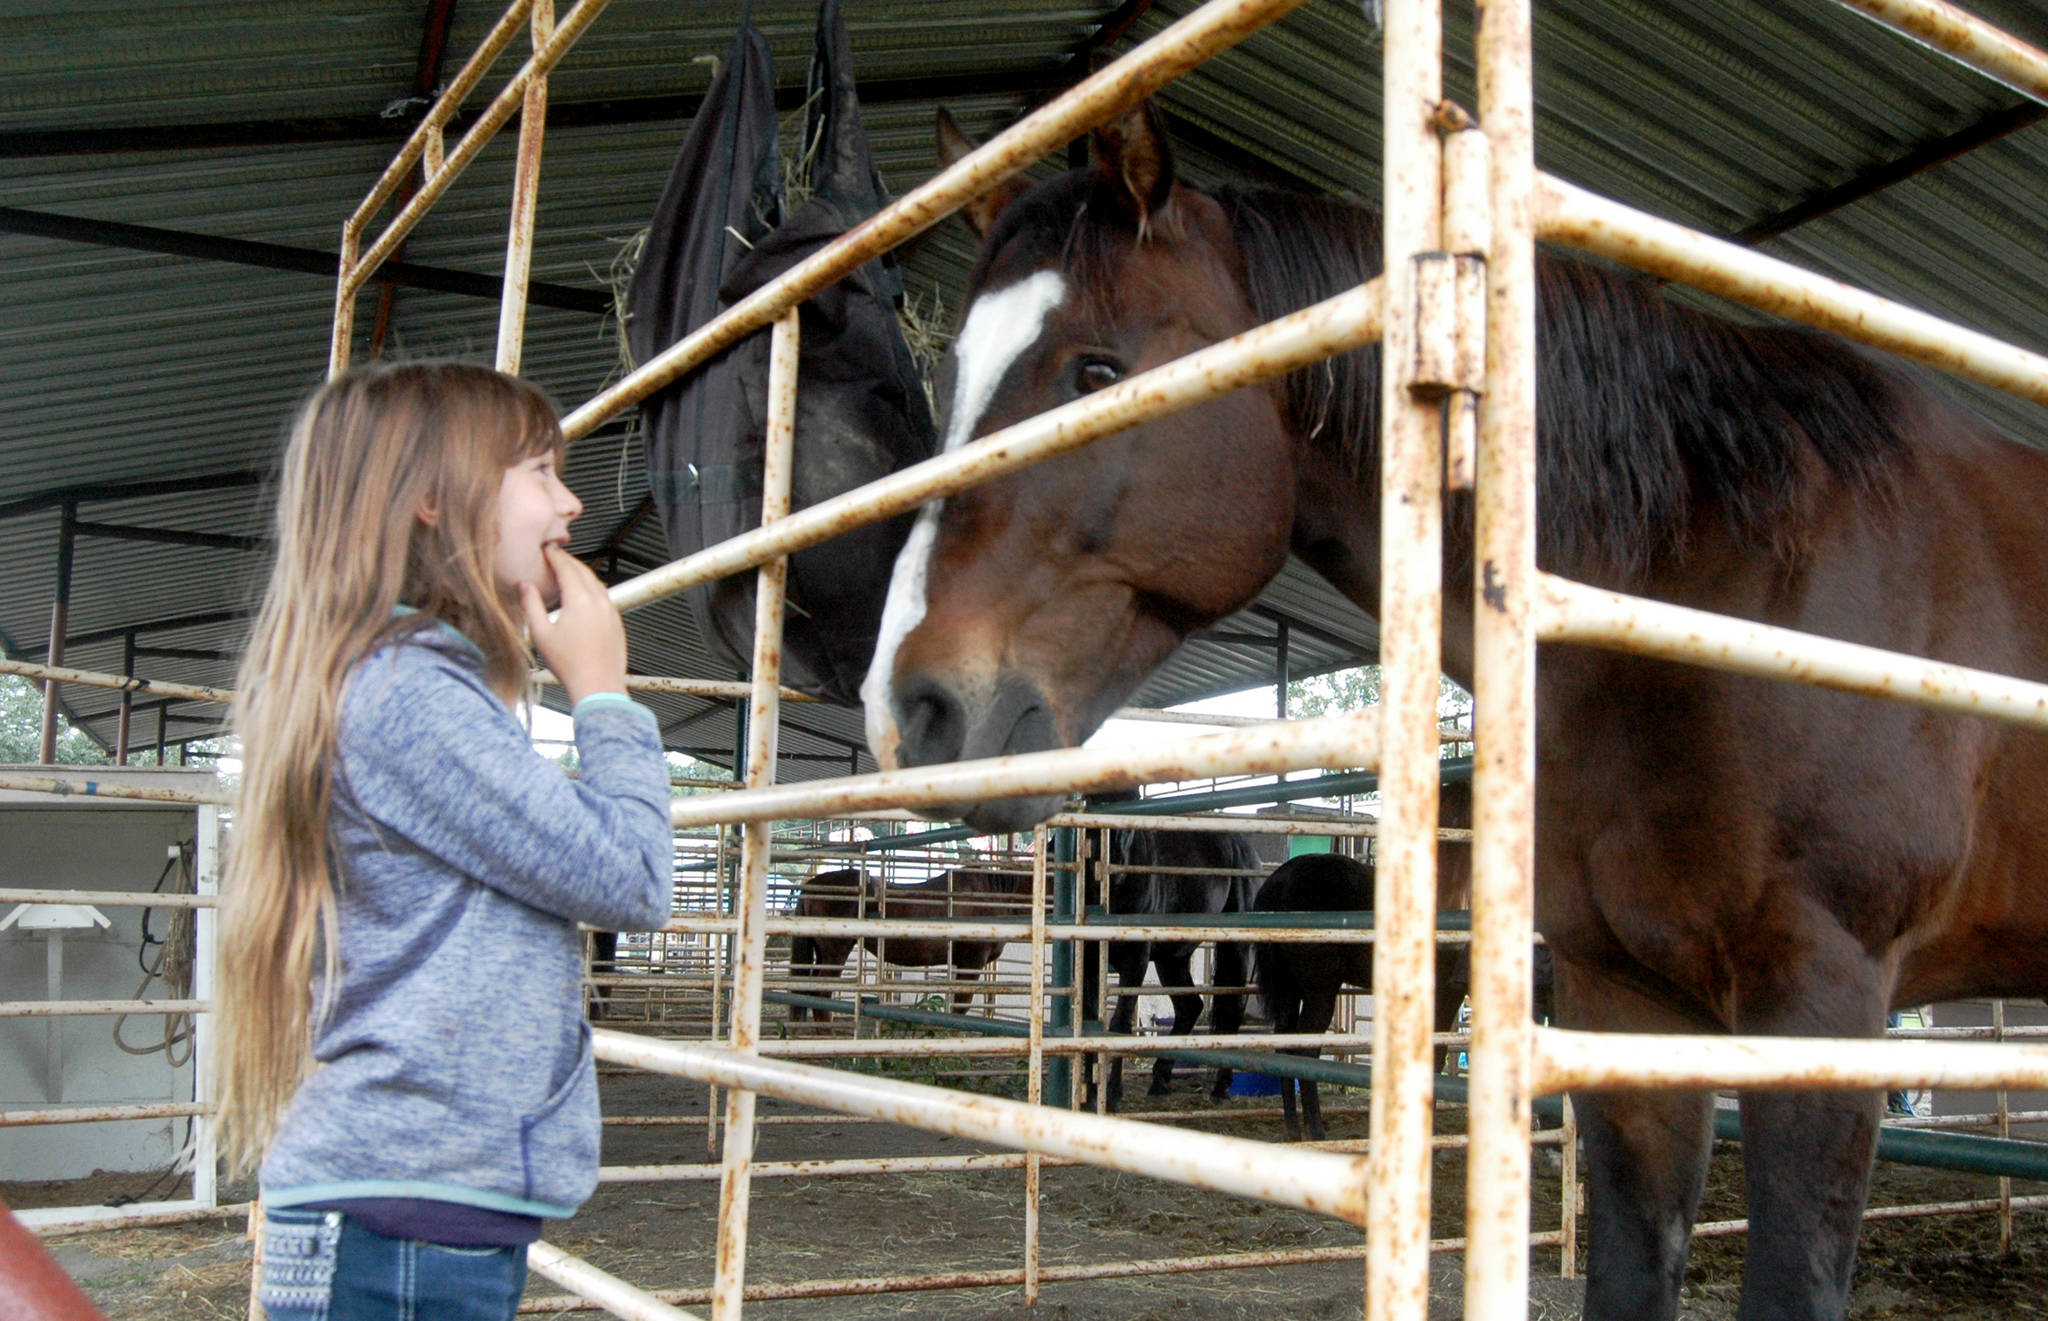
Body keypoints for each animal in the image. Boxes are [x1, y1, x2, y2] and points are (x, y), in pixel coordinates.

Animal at [1081, 831, 1253, 1105]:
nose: (1116, 864)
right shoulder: (1088, 961)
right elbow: (1088, 1023)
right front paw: (1089, 1091)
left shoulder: (1136, 959)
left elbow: (1120, 1024)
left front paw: (1113, 1093)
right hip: (1171, 960)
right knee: (1190, 1007)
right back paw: (1160, 1080)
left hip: (1235, 947)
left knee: (1232, 1007)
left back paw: (1220, 1088)